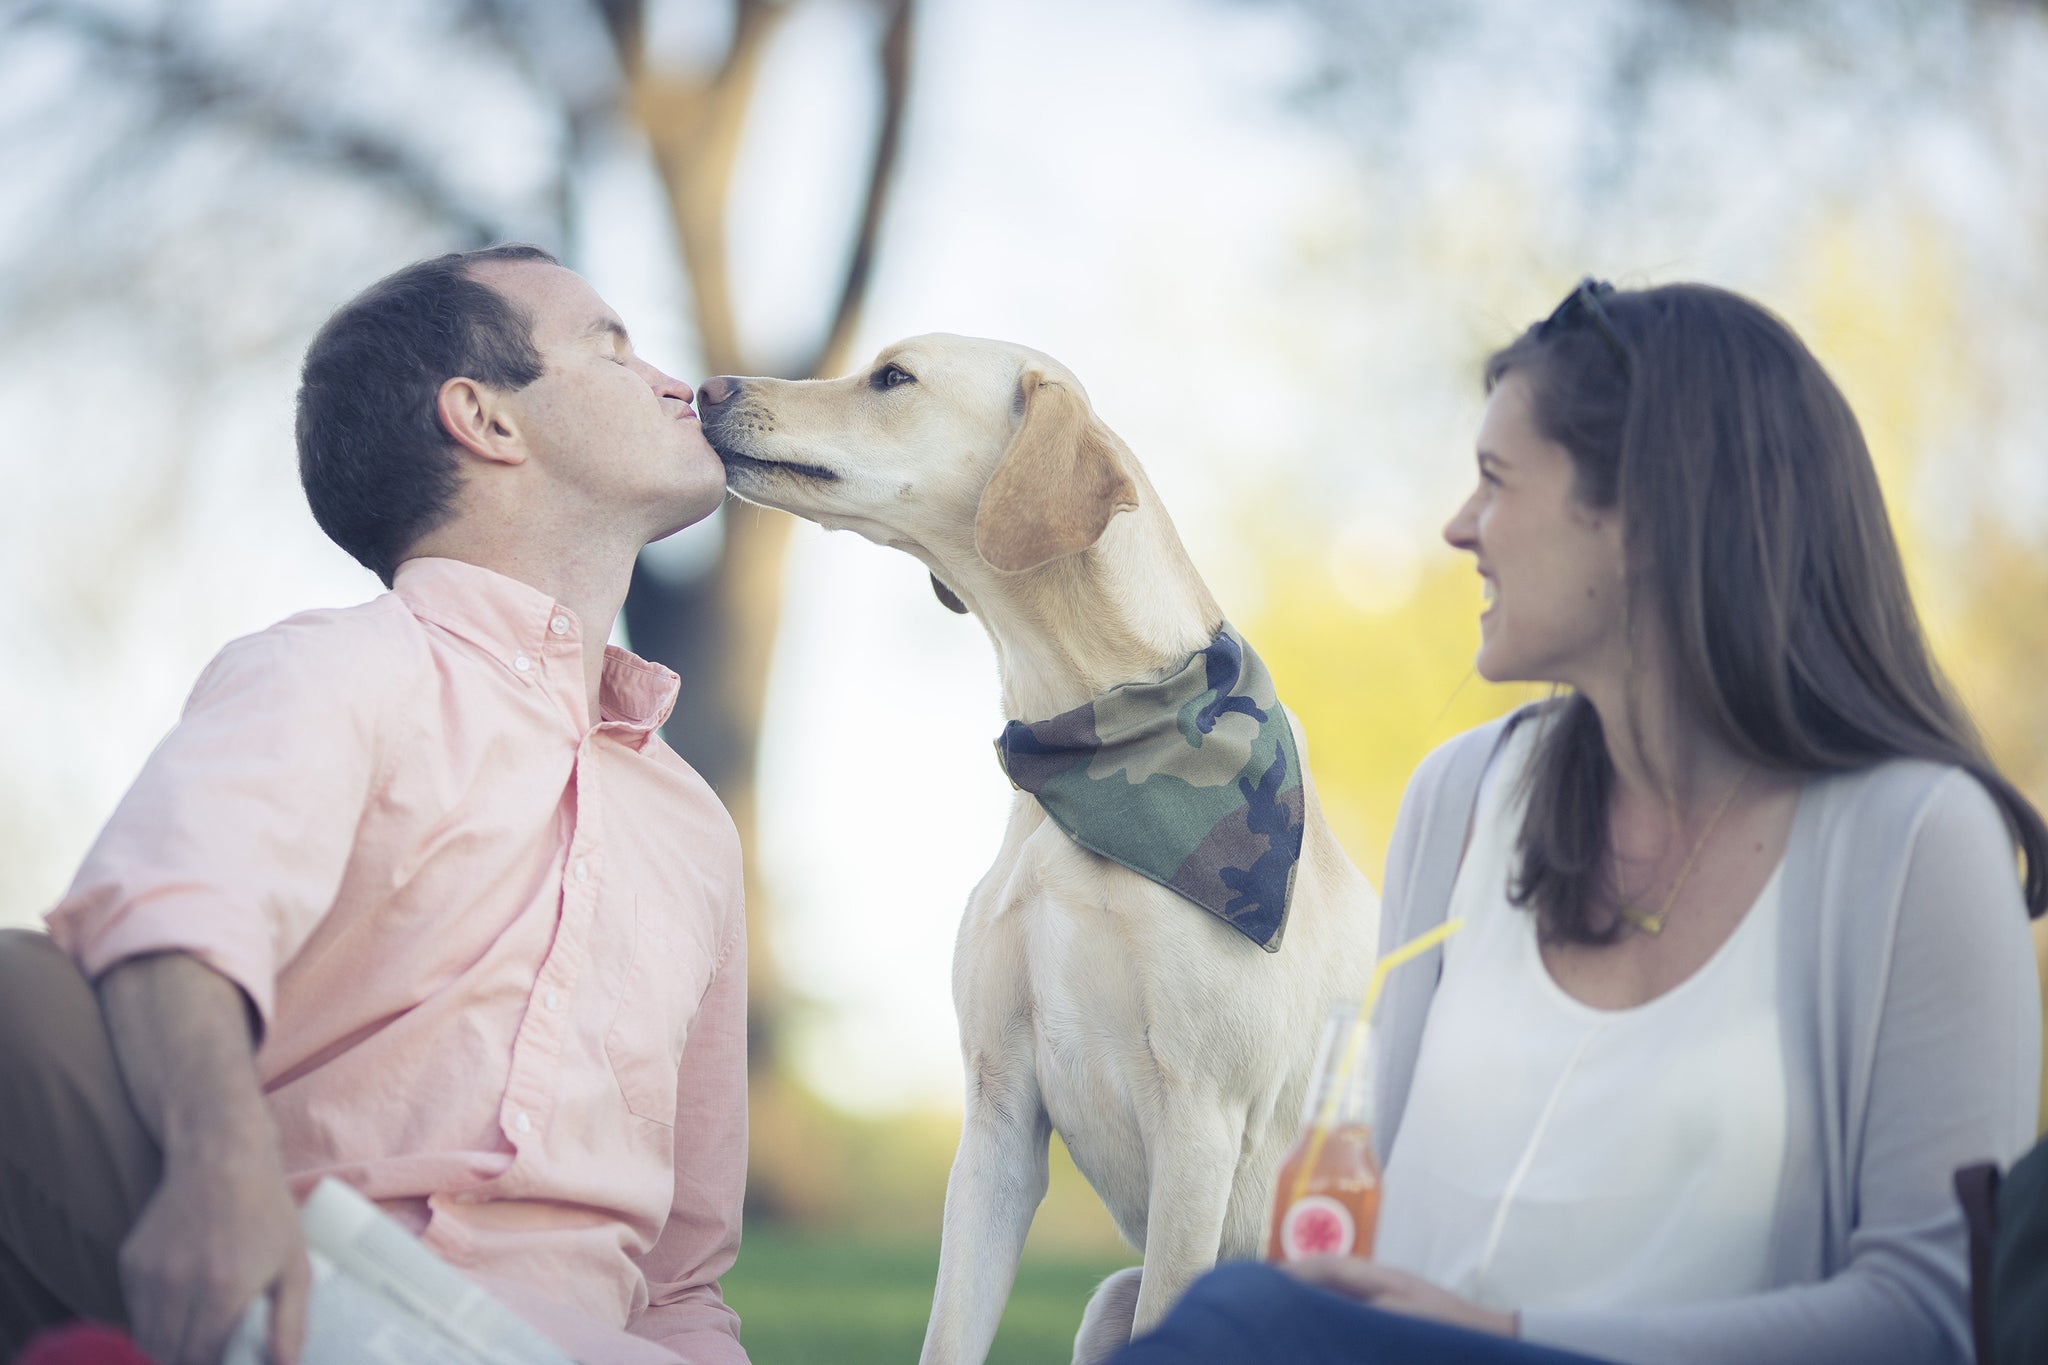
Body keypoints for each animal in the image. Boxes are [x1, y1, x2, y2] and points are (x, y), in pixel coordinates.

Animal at [696, 335, 1384, 1358]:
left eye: (892, 377)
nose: (706, 387)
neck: (1089, 742)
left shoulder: (1201, 1118)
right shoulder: (999, 1115)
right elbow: (950, 1331)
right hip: (1104, 1301)